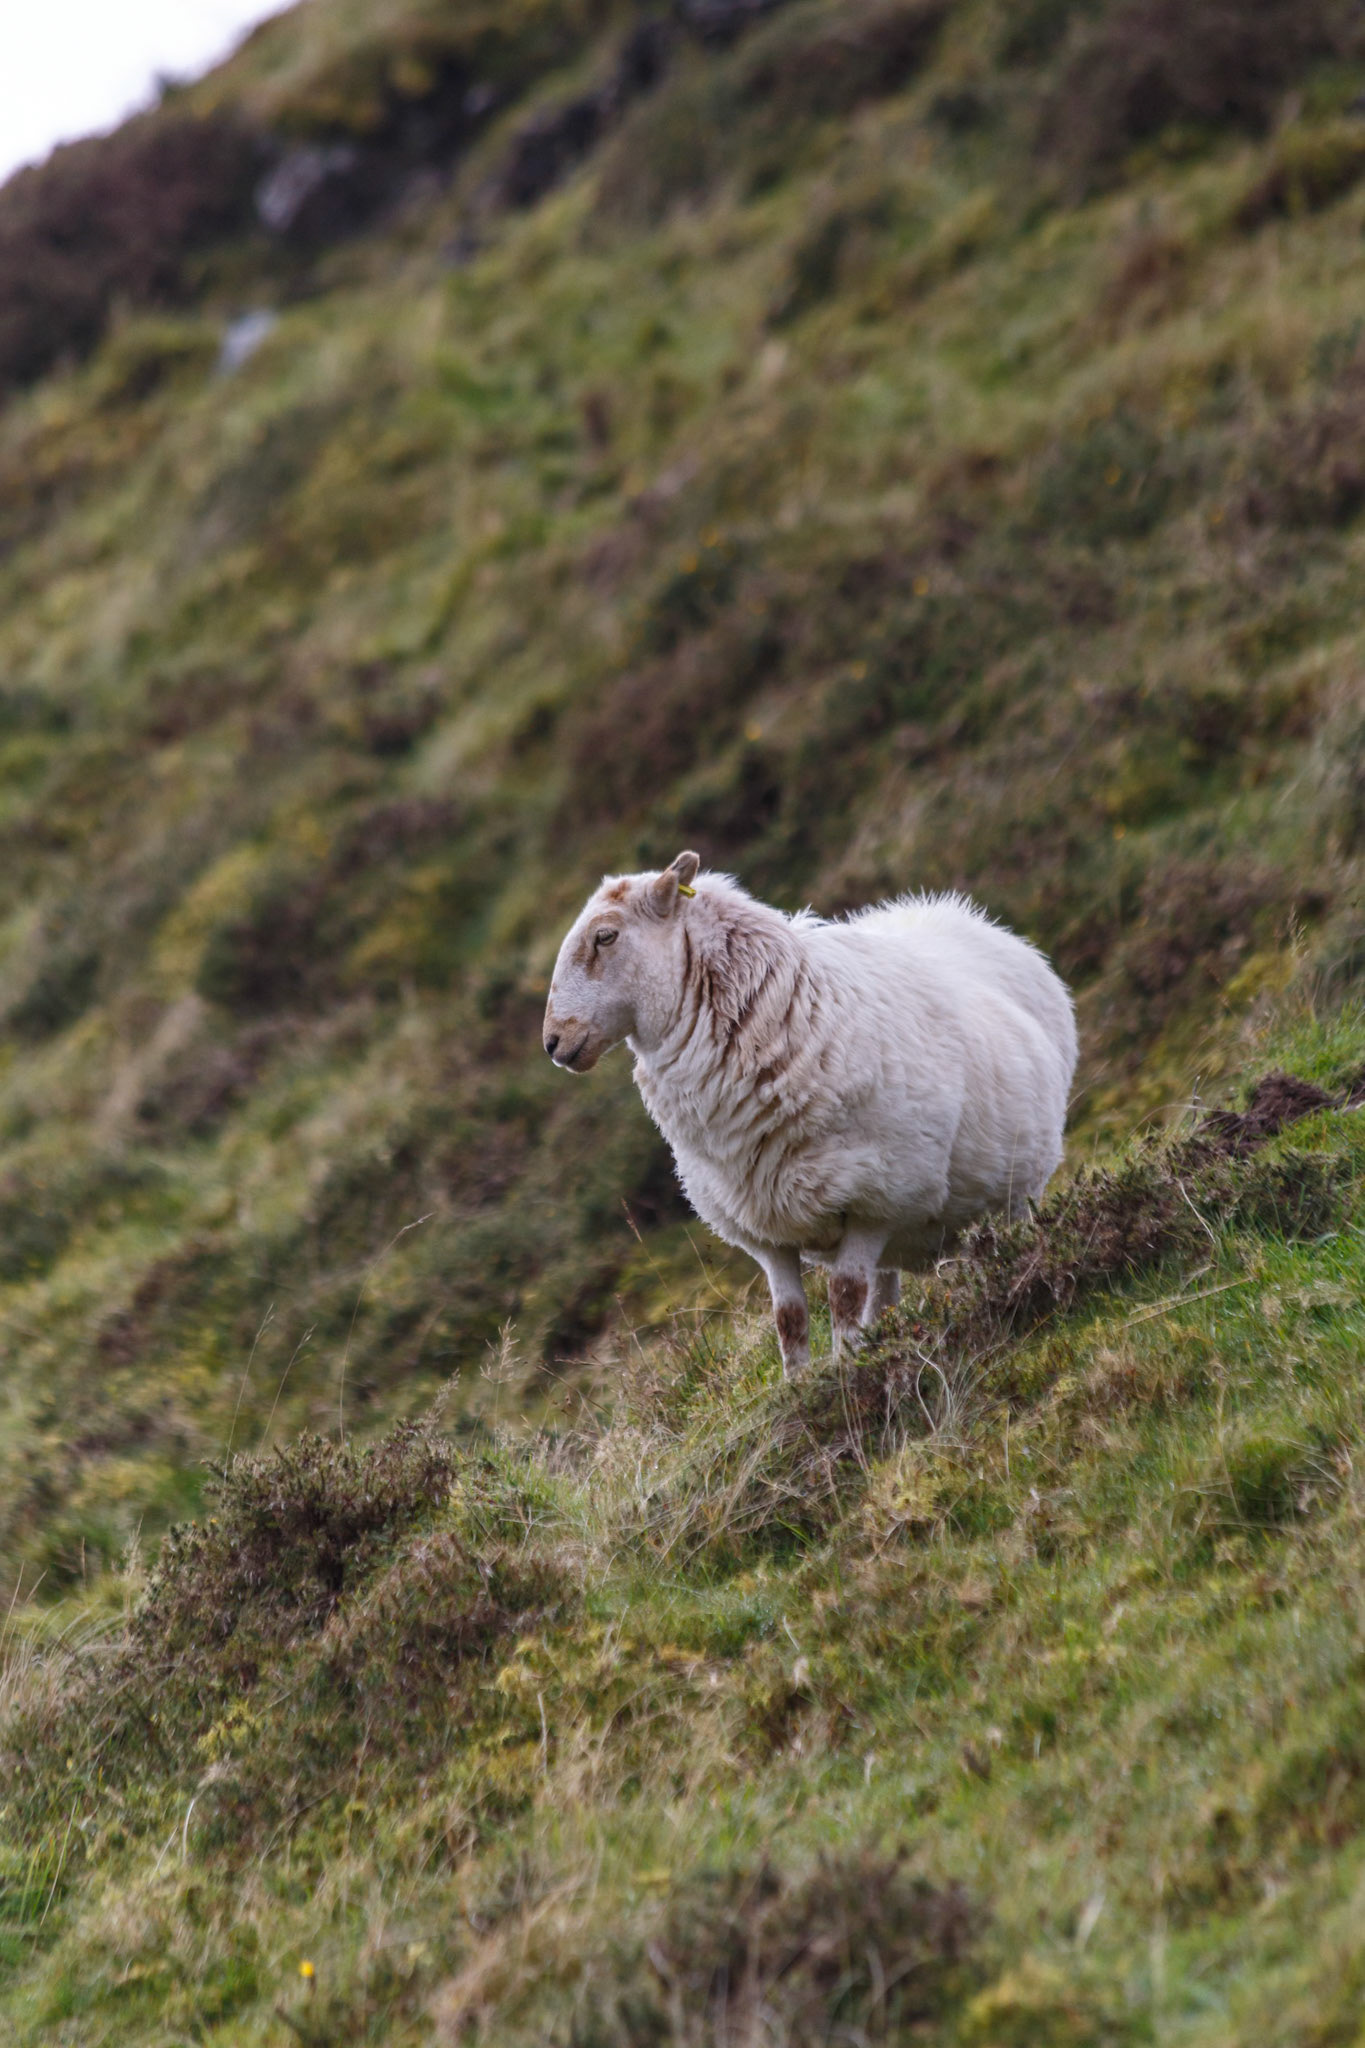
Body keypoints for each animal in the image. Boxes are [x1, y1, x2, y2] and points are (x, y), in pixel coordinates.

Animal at [543, 851, 1077, 1376]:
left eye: (605, 936)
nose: (552, 1041)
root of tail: (960, 915)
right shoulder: (761, 1222)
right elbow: (790, 1316)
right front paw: (799, 1381)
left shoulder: (878, 1197)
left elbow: (844, 1294)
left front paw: (843, 1369)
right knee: (885, 1287)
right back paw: (884, 1334)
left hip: (1018, 1192)